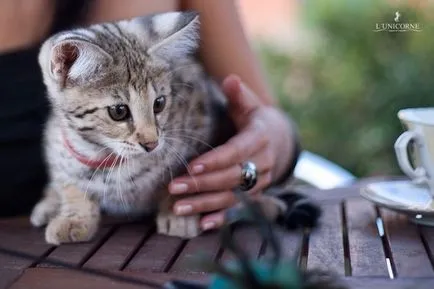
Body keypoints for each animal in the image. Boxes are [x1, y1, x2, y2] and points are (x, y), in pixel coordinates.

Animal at [28, 11, 318, 245]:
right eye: (118, 111)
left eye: (159, 103)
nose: (151, 143)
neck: (106, 158)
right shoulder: (58, 147)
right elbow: (70, 184)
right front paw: (75, 217)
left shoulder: (199, 131)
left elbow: (180, 179)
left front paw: (179, 214)